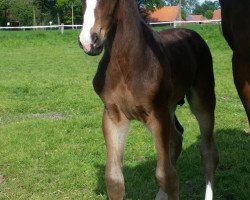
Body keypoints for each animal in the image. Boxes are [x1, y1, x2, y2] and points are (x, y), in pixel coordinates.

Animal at [79, 0, 218, 199]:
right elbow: (114, 180)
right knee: (177, 138)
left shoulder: (157, 115)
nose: (89, 41)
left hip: (202, 100)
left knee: (207, 151)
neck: (127, 62)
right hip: (170, 108)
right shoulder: (114, 116)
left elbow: (167, 177)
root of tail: (190, 33)